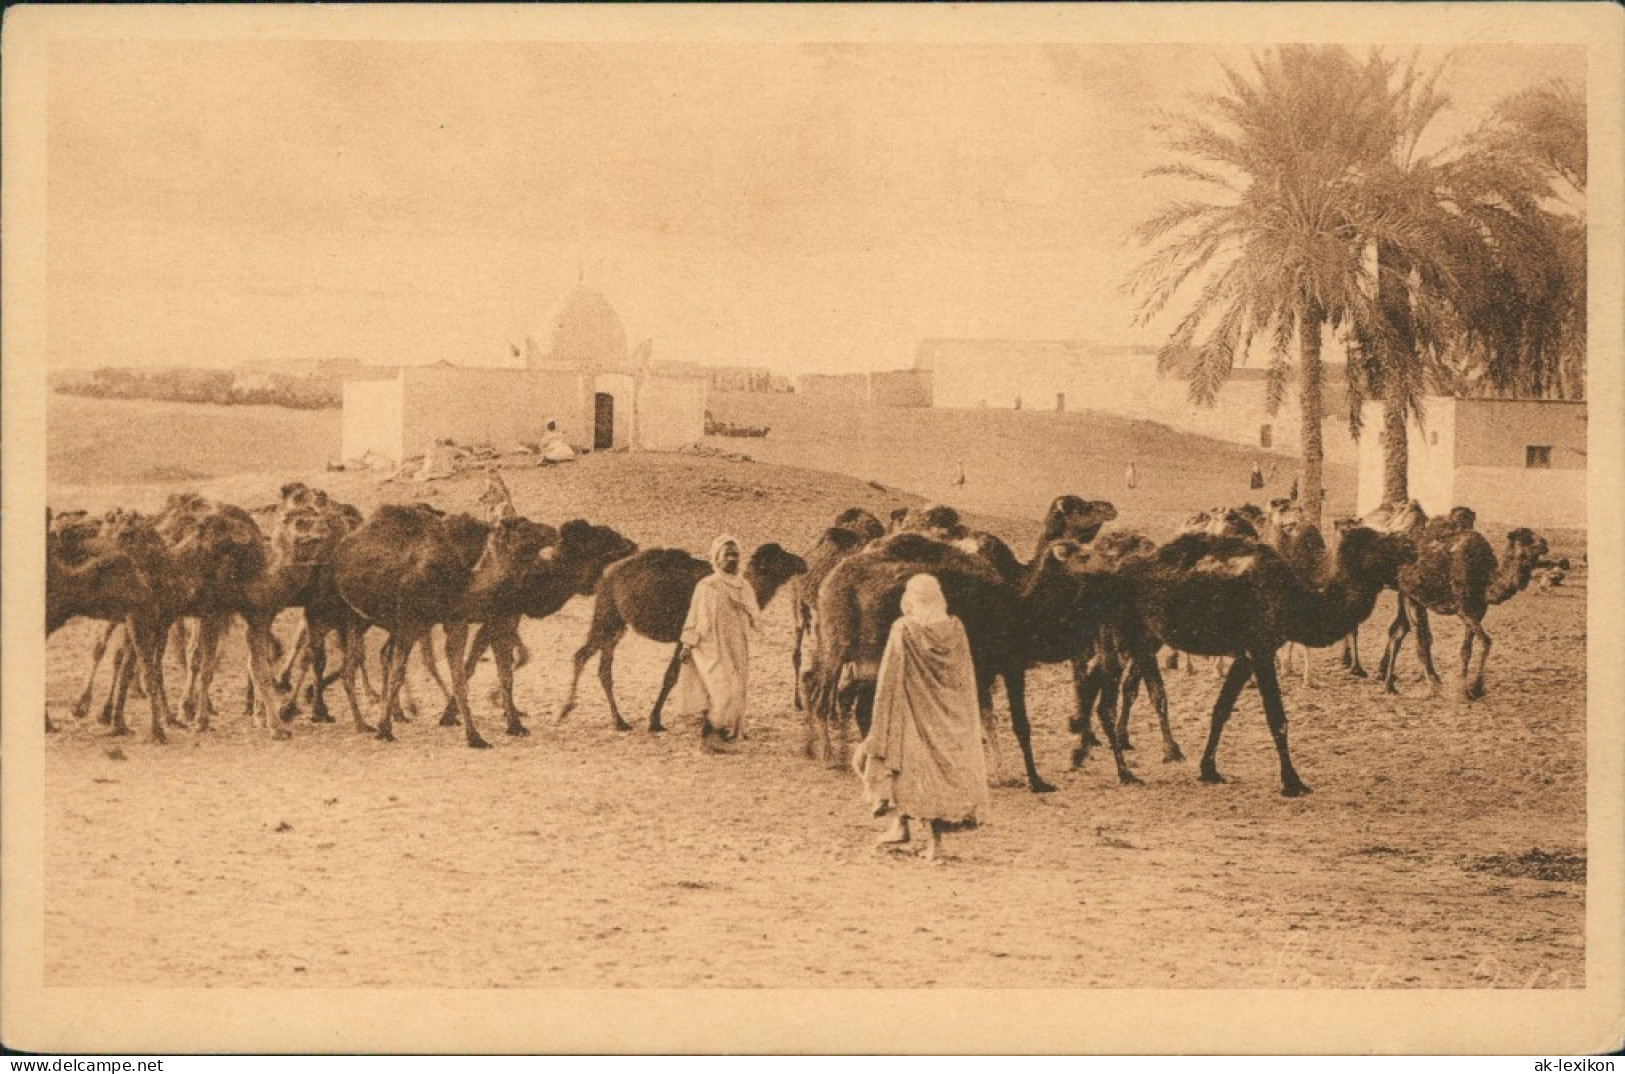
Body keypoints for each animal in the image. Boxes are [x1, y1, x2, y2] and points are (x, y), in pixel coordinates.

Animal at [329, 503, 559, 744]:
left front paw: (483, 734)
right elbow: (399, 673)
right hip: (356, 617)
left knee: (377, 658)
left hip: (383, 623)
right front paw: (385, 730)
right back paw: (363, 724)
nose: (554, 531)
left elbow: (468, 677)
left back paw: (389, 716)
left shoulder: (456, 621)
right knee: (350, 669)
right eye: (523, 526)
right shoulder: (412, 623)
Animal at [562, 539, 809, 734]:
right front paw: (655, 721)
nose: (802, 562)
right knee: (585, 657)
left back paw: (600, 716)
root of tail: (606, 575)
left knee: (598, 663)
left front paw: (707, 717)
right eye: (779, 557)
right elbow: (671, 676)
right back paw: (584, 714)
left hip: (617, 624)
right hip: (608, 612)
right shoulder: (685, 635)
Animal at [1085, 523, 1417, 792]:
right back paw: (1125, 773)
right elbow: (1277, 718)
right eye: (1378, 542)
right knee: (1106, 704)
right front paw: (1292, 782)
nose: (1410, 546)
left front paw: (1209, 770)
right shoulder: (1261, 649)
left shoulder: (1245, 655)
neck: (1294, 600)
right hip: (1121, 637)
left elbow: (1221, 709)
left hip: (1141, 640)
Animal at [1378, 519, 1553, 698]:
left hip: (1410, 596)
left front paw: (1466, 690)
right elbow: (1486, 641)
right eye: (1525, 538)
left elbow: (1466, 650)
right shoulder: (1463, 609)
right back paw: (1432, 688)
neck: (1485, 580)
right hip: (1410, 597)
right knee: (1419, 640)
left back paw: (1390, 686)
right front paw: (1476, 687)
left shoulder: (1478, 611)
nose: (1544, 544)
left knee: (1398, 635)